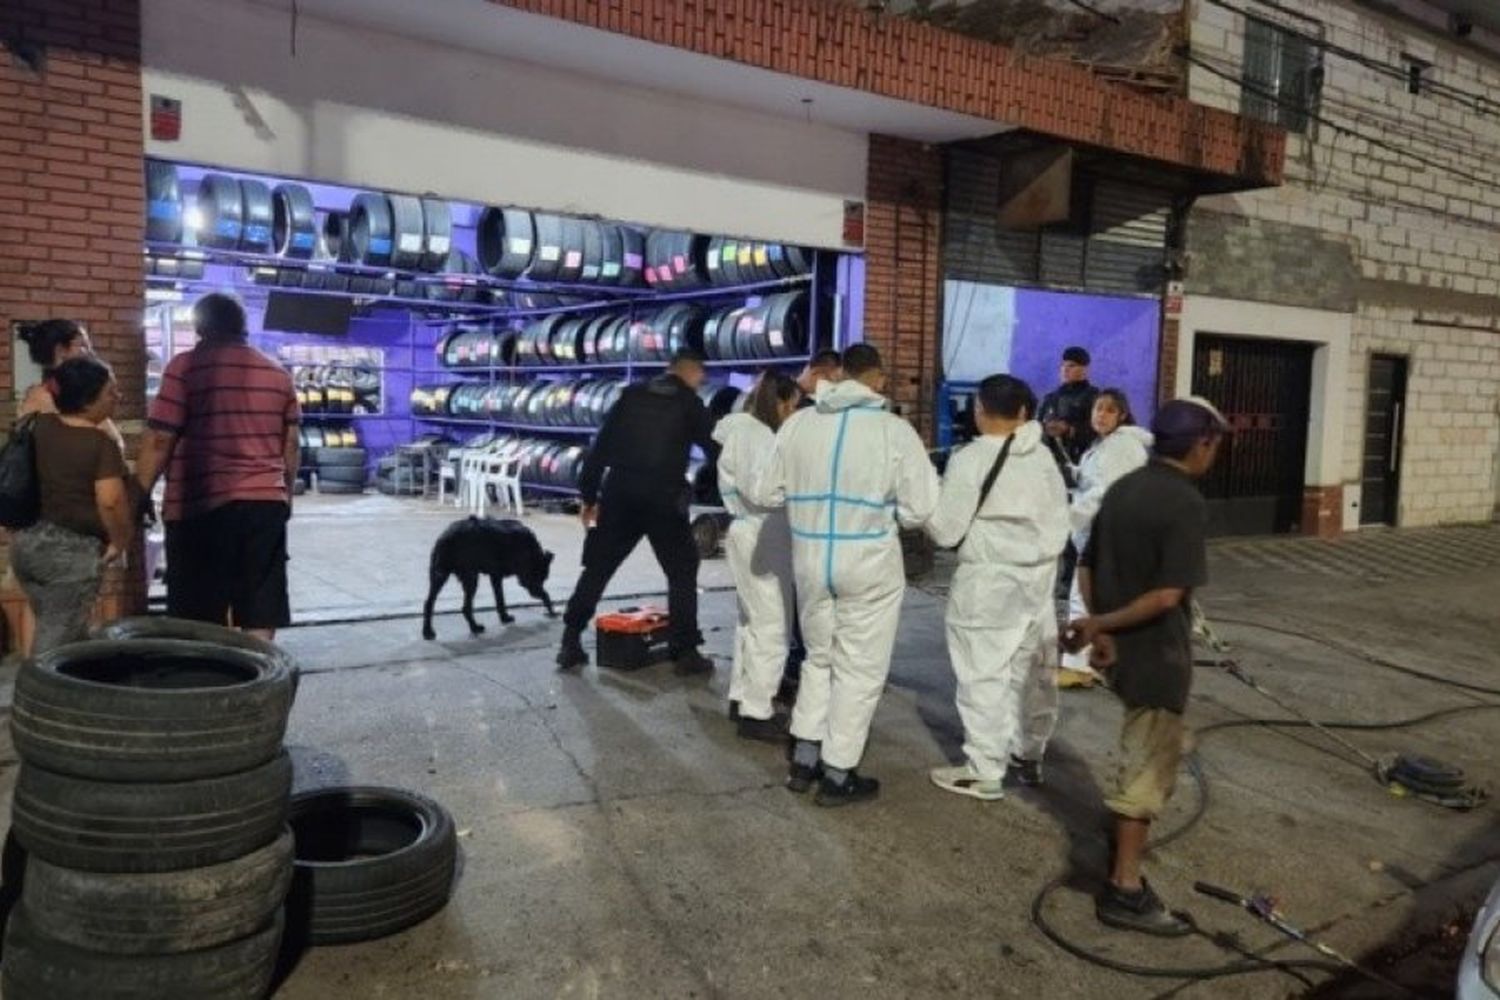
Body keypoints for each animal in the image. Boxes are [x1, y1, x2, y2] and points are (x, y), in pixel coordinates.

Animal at [423, 515, 558, 641]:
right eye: (541, 578)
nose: (534, 594)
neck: (532, 550)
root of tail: (446, 536)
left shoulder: (496, 576)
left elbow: (500, 599)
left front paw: (505, 617)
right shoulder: (526, 579)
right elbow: (546, 594)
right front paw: (552, 612)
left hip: (439, 575)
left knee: (429, 602)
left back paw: (428, 631)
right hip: (470, 577)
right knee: (465, 607)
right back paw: (474, 627)